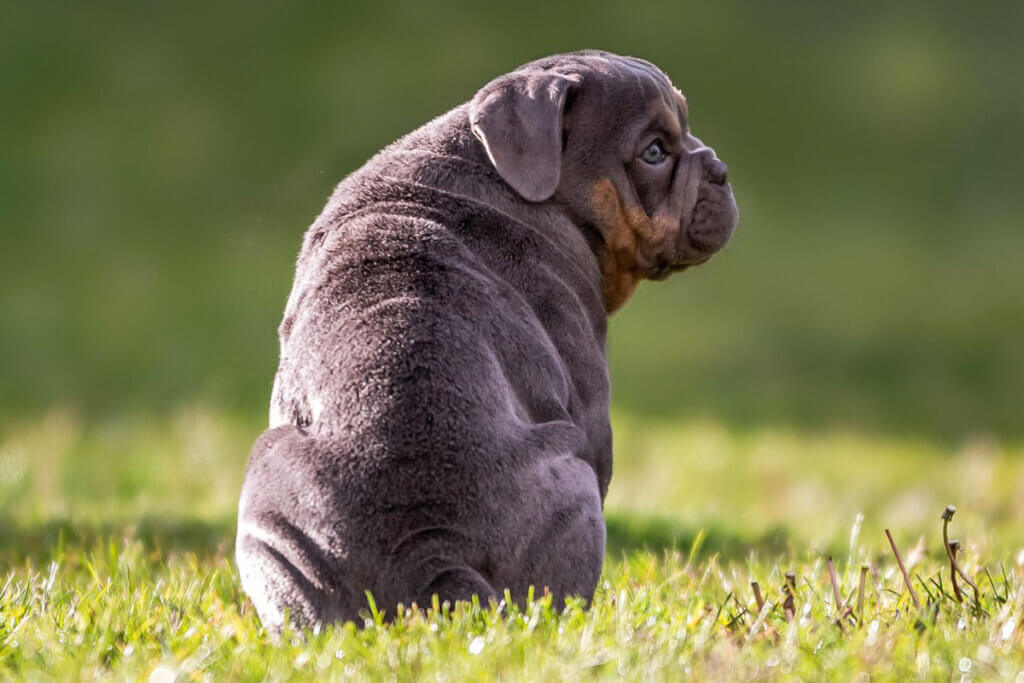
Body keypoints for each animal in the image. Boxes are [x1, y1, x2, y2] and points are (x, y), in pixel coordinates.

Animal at [236, 50, 741, 634]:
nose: (721, 169)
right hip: (573, 476)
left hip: (270, 504)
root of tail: (429, 551)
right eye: (655, 152)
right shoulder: (593, 411)